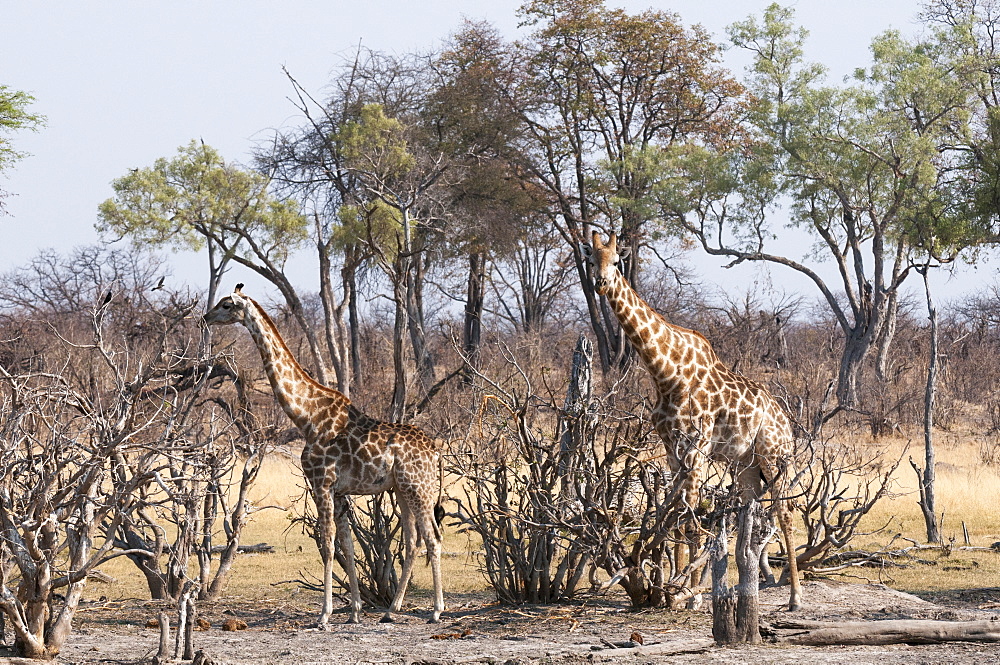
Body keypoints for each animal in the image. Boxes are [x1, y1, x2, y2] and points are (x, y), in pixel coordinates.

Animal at [205, 284, 444, 624]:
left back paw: (436, 611)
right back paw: (391, 610)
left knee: (433, 539)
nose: (206, 316)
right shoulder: (340, 491)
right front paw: (354, 611)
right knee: (413, 541)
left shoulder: (321, 483)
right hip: (401, 489)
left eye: (227, 304)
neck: (306, 417)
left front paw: (324, 615)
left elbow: (327, 545)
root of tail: (436, 452)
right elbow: (347, 546)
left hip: (419, 488)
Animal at [584, 231, 800, 608]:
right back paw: (747, 588)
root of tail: (786, 422)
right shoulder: (673, 447)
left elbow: (689, 518)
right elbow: (679, 519)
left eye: (616, 260)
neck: (664, 371)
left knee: (785, 514)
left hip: (774, 456)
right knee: (754, 514)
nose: (600, 282)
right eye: (592, 260)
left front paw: (688, 593)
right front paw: (679, 589)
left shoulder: (696, 446)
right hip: (747, 465)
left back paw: (795, 597)